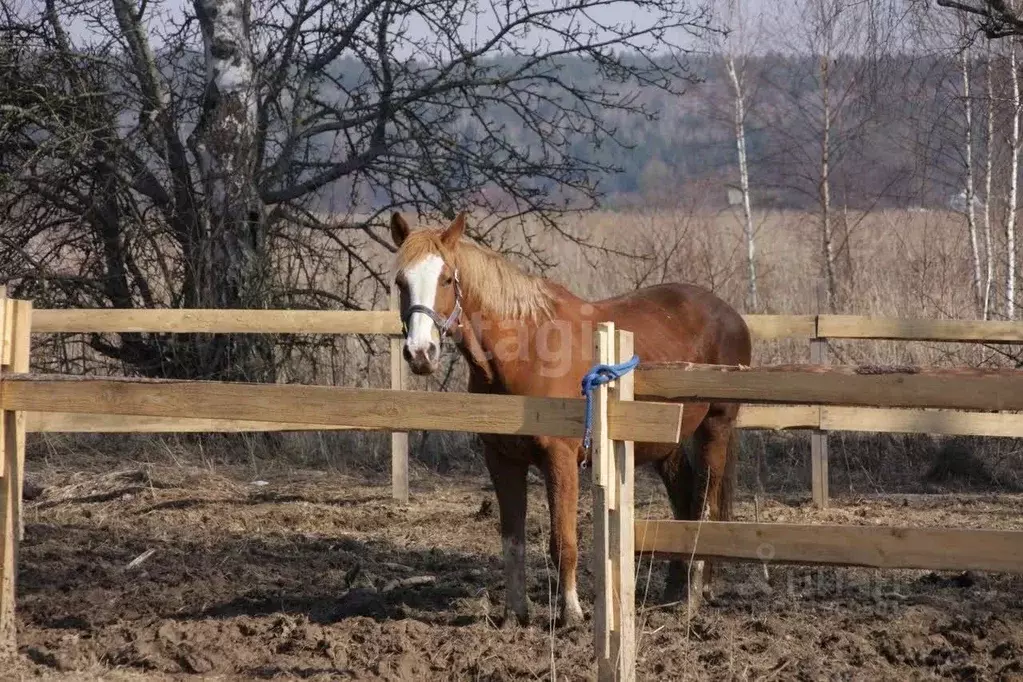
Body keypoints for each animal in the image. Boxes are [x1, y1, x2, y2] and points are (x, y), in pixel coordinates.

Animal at [390, 211, 752, 629]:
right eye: (400, 281)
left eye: (447, 279)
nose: (421, 353)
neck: (525, 349)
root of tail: (731, 314)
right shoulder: (502, 460)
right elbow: (512, 540)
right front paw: (514, 614)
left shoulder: (560, 459)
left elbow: (563, 541)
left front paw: (572, 613)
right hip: (667, 445)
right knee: (684, 503)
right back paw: (674, 593)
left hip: (715, 429)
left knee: (705, 507)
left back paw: (692, 597)